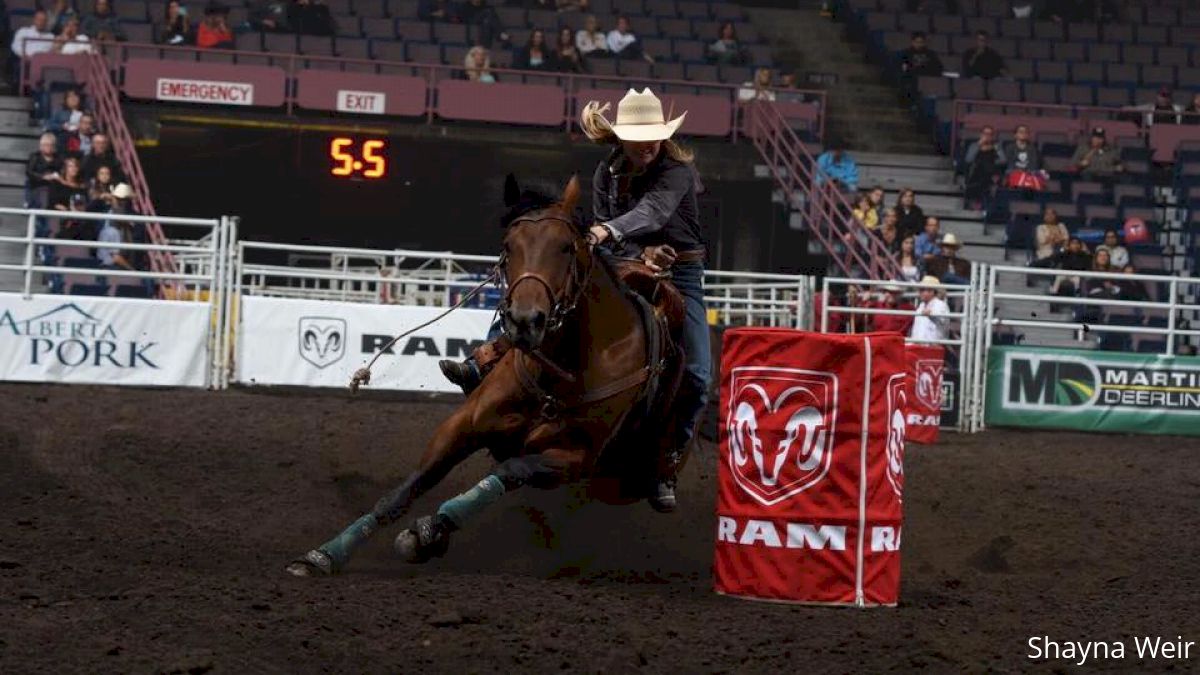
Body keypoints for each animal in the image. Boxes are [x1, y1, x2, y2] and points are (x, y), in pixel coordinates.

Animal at [283, 172, 686, 571]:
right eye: (509, 245)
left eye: (566, 248)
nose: (525, 321)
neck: (561, 371)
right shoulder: (464, 424)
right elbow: (406, 489)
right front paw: (325, 554)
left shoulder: (572, 459)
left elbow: (506, 473)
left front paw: (430, 531)